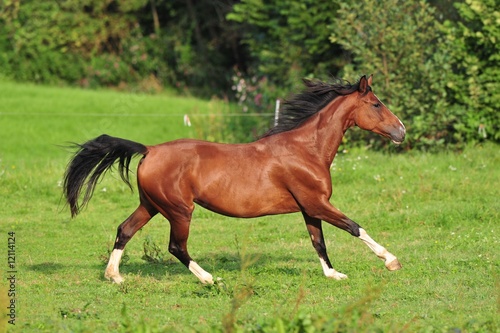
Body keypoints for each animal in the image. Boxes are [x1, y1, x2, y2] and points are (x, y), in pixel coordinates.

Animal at [62, 74, 406, 282]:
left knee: (125, 229)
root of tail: (150, 150)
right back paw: (209, 279)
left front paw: (333, 275)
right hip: (179, 210)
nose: (401, 131)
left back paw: (115, 276)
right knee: (176, 247)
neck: (306, 149)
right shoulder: (317, 203)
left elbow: (318, 242)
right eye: (376, 104)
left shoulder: (310, 208)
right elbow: (355, 227)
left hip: (151, 205)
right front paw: (391, 260)